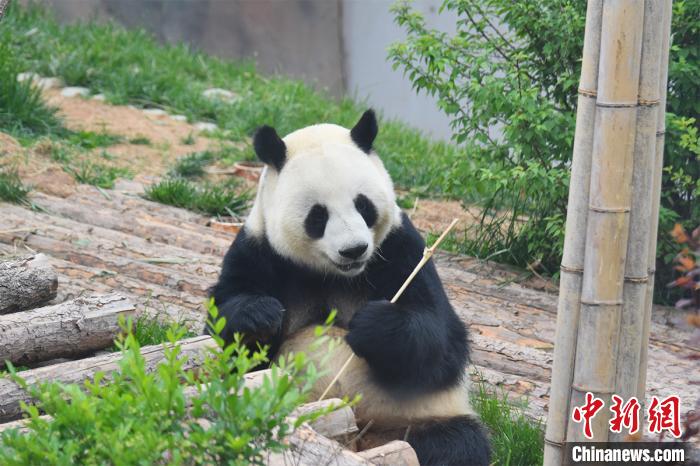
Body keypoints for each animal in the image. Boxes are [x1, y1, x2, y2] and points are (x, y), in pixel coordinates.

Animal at [211, 110, 490, 466]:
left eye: (363, 205)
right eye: (318, 216)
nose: (354, 250)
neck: (332, 273)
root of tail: (355, 438)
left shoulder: (401, 249)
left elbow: (442, 341)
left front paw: (372, 325)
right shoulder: (260, 250)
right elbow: (227, 330)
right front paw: (260, 316)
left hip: (419, 417)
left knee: (458, 444)